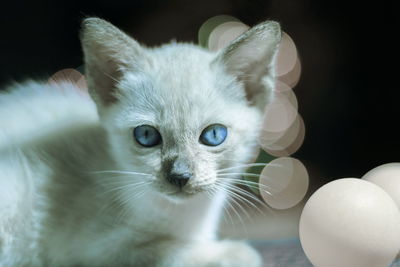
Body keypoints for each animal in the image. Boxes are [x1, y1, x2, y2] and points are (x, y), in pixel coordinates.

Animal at [0, 17, 282, 266]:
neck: (187, 216)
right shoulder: (97, 250)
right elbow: (168, 251)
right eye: (146, 136)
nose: (180, 176)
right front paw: (236, 253)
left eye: (213, 135)